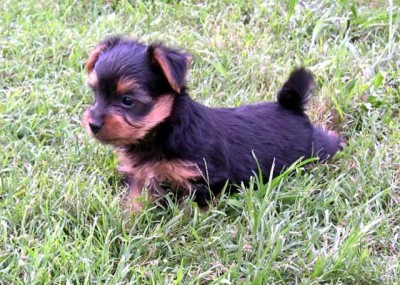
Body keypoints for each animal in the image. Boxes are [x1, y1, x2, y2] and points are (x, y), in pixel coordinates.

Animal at [82, 36, 344, 211]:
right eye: (95, 94)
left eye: (127, 101)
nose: (92, 124)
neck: (161, 131)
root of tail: (291, 107)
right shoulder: (140, 175)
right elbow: (135, 202)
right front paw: (128, 223)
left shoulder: (205, 180)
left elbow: (192, 211)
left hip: (314, 148)